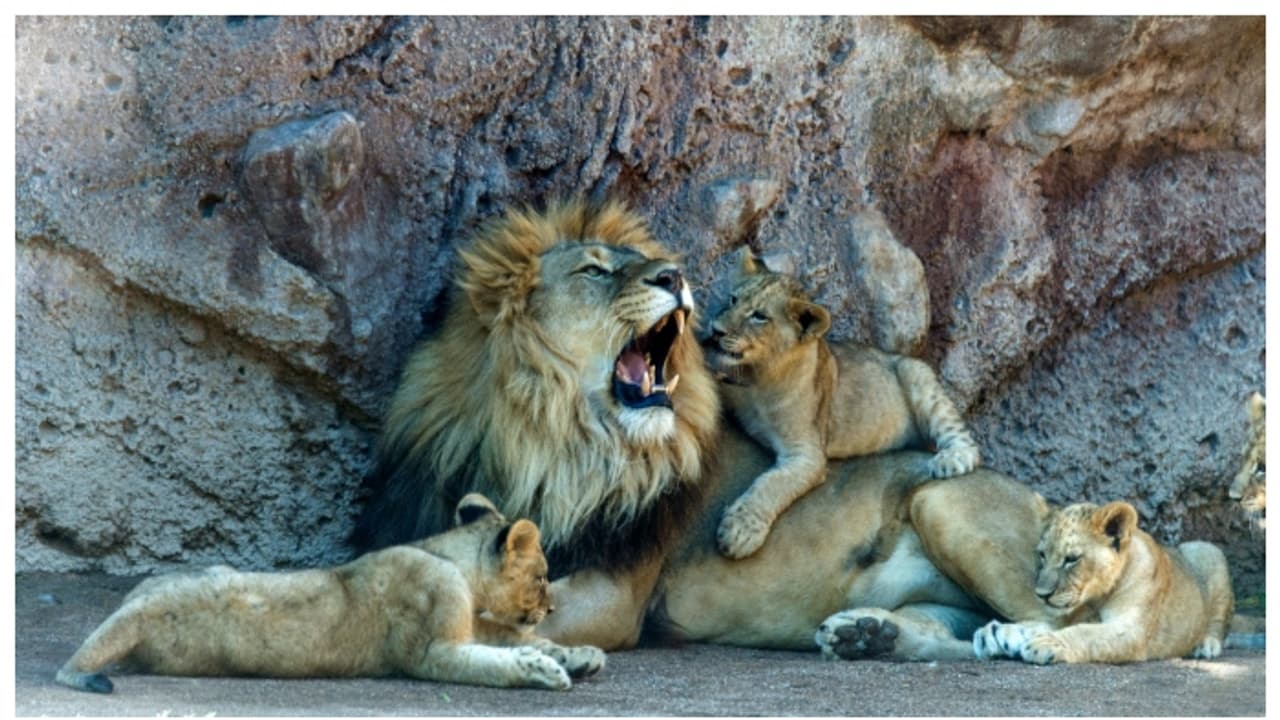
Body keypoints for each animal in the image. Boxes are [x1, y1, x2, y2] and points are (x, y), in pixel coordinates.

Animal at [58, 494, 603, 693]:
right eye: (543, 577)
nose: (552, 606)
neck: (451, 561)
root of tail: (139, 605)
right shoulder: (429, 650)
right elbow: (494, 658)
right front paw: (543, 670)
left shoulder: (470, 620)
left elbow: (511, 637)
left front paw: (580, 654)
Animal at [701, 249, 981, 558]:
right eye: (733, 299)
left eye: (760, 316)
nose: (715, 330)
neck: (757, 379)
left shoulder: (807, 453)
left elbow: (772, 485)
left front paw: (740, 530)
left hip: (914, 371)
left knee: (963, 438)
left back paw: (952, 459)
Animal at [970, 500, 1234, 664]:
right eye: (1042, 555)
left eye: (1071, 559)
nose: (1041, 594)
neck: (1095, 598)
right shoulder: (1065, 616)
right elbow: (1039, 624)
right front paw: (994, 633)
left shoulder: (1132, 631)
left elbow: (1086, 633)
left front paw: (1048, 643)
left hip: (1208, 551)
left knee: (1219, 621)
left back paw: (1205, 645)